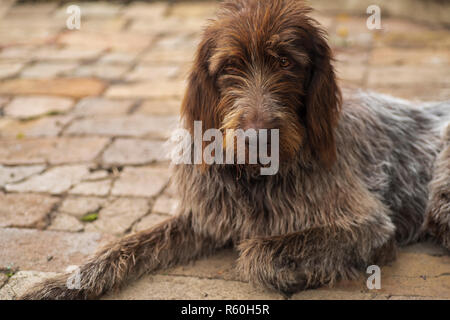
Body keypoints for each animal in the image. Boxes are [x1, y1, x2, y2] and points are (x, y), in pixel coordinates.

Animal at [21, 0, 450, 300]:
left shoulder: (368, 226)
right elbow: (125, 245)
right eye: (230, 67)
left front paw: (294, 273)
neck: (255, 177)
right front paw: (63, 282)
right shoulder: (205, 216)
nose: (258, 137)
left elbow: (258, 252)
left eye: (286, 63)